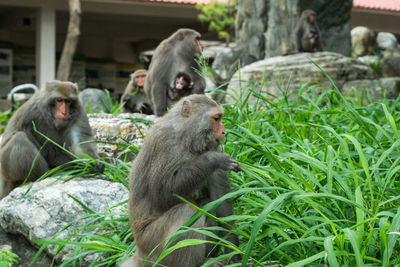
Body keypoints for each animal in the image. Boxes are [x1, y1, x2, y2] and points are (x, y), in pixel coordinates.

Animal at [122, 94, 241, 267]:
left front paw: (234, 253)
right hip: (153, 247)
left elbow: (221, 201)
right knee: (186, 211)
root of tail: (140, 255)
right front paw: (212, 159)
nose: (224, 132)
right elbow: (162, 195)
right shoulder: (163, 142)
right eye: (216, 118)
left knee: (207, 204)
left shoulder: (212, 144)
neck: (185, 137)